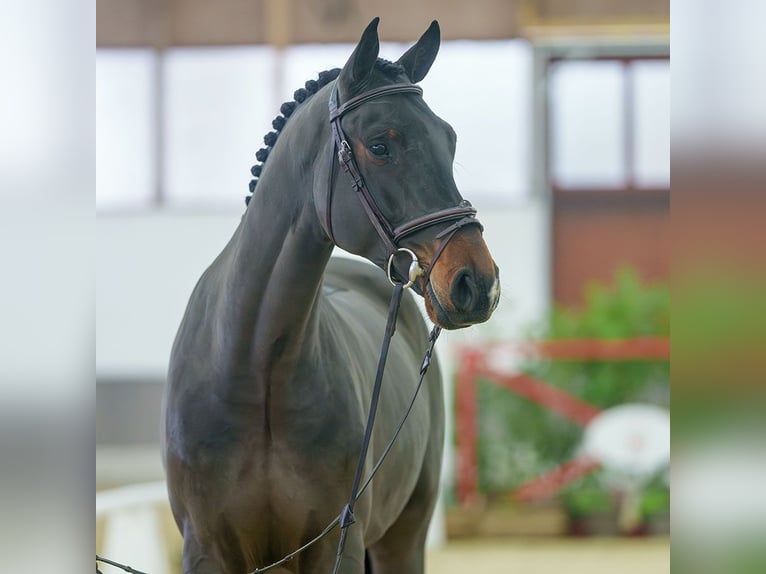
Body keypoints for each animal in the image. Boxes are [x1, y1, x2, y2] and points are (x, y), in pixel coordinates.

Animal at [160, 18, 504, 574]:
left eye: (449, 140)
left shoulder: (334, 545)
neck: (255, 369)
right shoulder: (206, 549)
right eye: (381, 145)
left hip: (404, 537)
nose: (478, 282)